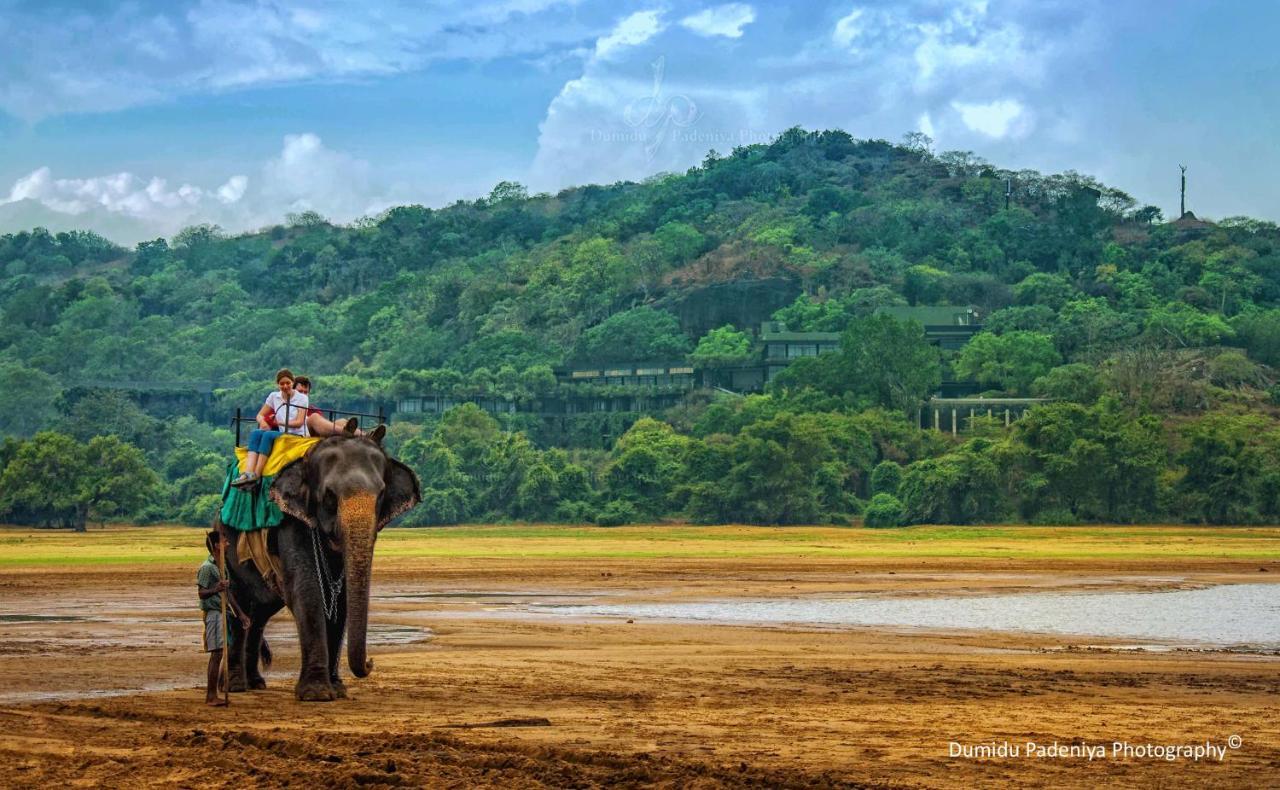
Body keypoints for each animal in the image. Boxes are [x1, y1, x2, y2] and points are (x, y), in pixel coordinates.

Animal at [220, 425, 419, 701]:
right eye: (329, 496)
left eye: (380, 495)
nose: (371, 662)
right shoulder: (291, 520)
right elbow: (307, 590)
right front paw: (317, 694)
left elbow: (341, 600)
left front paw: (338, 689)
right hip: (226, 544)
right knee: (239, 607)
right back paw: (237, 687)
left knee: (259, 613)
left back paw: (256, 684)